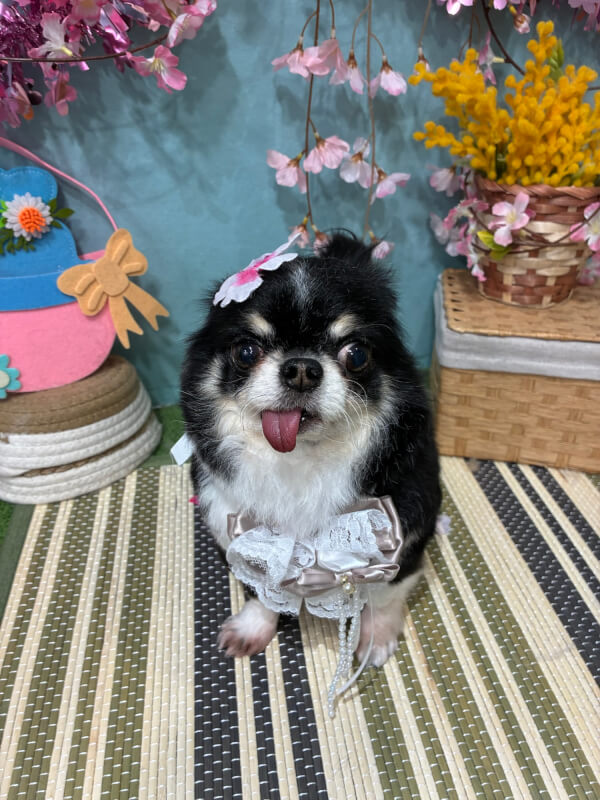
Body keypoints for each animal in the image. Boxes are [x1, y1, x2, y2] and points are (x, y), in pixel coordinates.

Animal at [181, 232, 441, 667]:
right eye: (246, 352)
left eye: (356, 354)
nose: (301, 368)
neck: (300, 460)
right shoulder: (242, 533)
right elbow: (262, 591)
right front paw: (254, 627)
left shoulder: (407, 530)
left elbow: (385, 595)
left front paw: (376, 637)